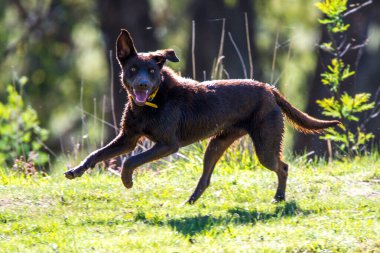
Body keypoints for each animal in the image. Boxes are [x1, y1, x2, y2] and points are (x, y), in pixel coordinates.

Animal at [63, 29, 340, 204]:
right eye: (132, 69)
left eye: (151, 70)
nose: (141, 85)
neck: (152, 103)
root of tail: (269, 88)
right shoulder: (127, 138)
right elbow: (96, 154)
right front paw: (76, 171)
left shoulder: (167, 144)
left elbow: (130, 161)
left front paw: (127, 181)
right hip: (216, 143)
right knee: (206, 178)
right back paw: (190, 202)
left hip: (265, 145)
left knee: (282, 167)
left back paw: (279, 198)